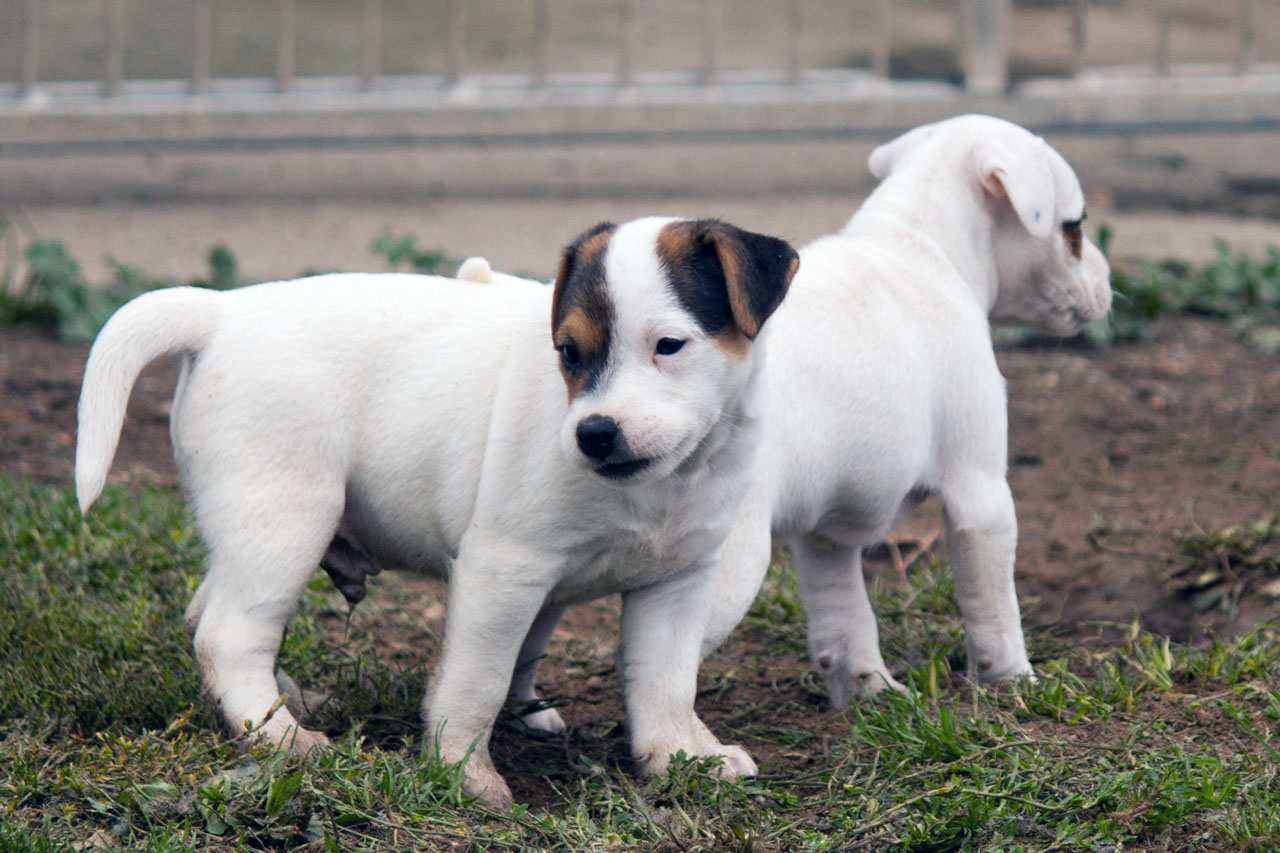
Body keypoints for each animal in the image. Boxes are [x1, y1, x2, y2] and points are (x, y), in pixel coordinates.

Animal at [75, 216, 798, 808]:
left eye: (669, 345)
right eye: (568, 352)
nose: (594, 433)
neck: (663, 481)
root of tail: (222, 311)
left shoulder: (678, 582)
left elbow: (666, 681)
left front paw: (679, 757)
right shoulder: (504, 569)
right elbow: (477, 680)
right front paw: (463, 773)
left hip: (250, 529)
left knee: (211, 613)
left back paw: (283, 703)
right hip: (286, 516)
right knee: (228, 632)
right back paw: (280, 736)